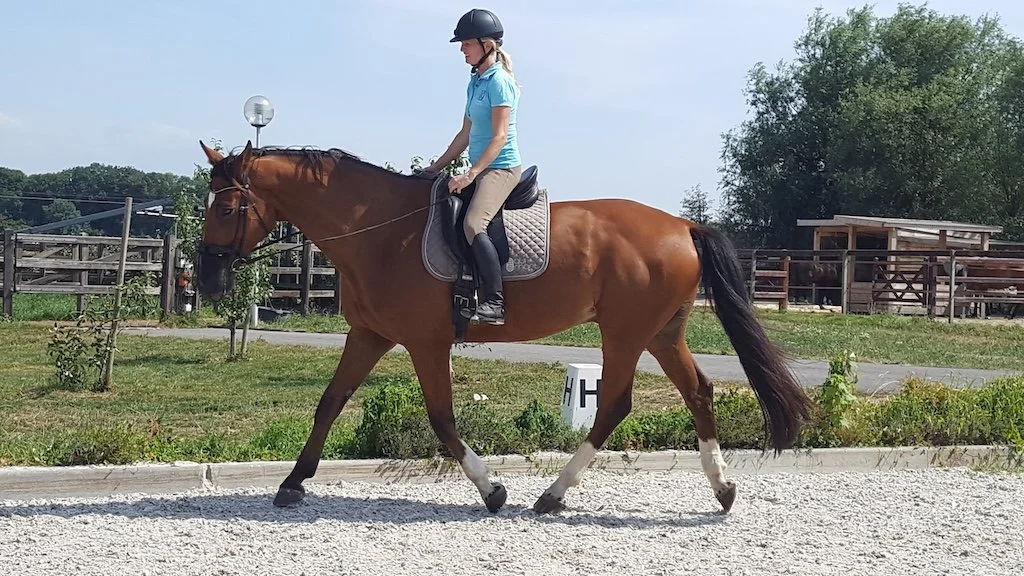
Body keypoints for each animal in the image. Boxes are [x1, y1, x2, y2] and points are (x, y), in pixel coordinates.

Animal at [194, 140, 814, 515]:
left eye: (225, 209)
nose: (205, 279)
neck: (379, 231)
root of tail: (683, 224)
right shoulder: (369, 335)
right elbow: (330, 401)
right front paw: (292, 483)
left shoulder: (426, 342)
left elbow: (442, 420)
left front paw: (492, 490)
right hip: (661, 334)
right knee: (699, 393)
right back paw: (723, 489)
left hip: (625, 333)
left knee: (614, 404)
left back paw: (552, 494)